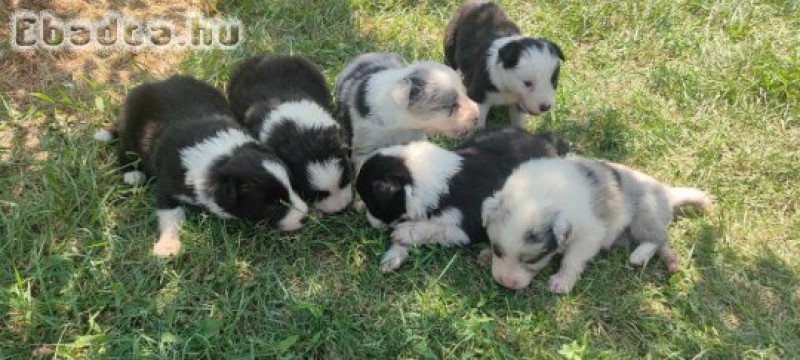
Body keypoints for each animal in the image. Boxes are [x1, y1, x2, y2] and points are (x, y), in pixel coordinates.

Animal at [356, 128, 568, 272]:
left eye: (372, 204)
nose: (369, 223)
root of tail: (543, 138)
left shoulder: (467, 229)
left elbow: (435, 228)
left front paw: (404, 233)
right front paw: (392, 257)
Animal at [444, 0, 564, 128]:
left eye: (554, 81)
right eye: (527, 83)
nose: (545, 107)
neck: (507, 88)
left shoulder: (518, 104)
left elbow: (518, 122)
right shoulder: (478, 95)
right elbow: (478, 121)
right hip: (451, 37)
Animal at [482, 159, 712, 294]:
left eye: (533, 259)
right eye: (498, 250)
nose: (506, 283)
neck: (538, 193)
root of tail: (668, 193)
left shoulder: (588, 235)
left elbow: (571, 260)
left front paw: (562, 282)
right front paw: (486, 254)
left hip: (646, 213)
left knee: (656, 238)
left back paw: (639, 256)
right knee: (663, 243)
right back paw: (670, 261)